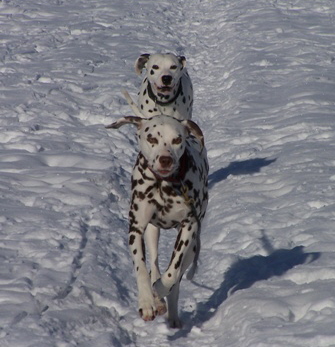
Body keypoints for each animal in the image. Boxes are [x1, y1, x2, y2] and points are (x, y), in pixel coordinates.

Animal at [106, 115, 209, 328]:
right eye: (151, 138)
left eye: (177, 139)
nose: (165, 159)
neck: (163, 185)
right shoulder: (136, 228)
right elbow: (142, 268)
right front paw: (147, 302)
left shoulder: (188, 227)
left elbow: (172, 273)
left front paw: (159, 289)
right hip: (152, 232)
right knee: (153, 262)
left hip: (193, 247)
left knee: (176, 279)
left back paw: (171, 313)